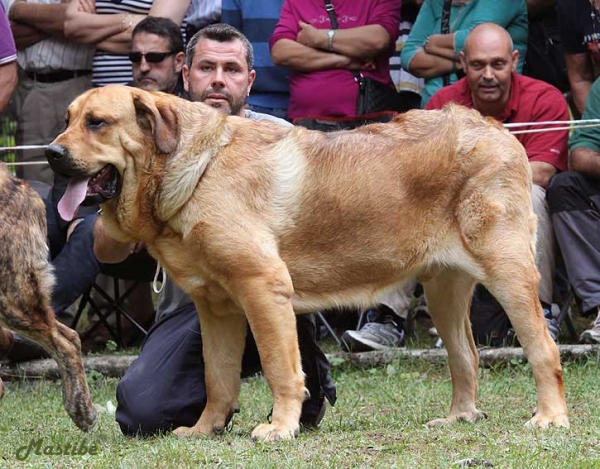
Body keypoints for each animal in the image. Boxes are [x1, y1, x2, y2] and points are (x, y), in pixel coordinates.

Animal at [45, 86, 568, 440]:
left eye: (97, 122)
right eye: (67, 118)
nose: (50, 153)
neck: (192, 170)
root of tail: (495, 128)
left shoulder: (262, 288)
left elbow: (280, 367)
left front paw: (279, 428)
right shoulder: (217, 309)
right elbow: (218, 379)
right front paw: (204, 430)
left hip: (508, 271)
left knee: (543, 348)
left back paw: (550, 417)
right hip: (445, 290)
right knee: (466, 356)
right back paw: (459, 417)